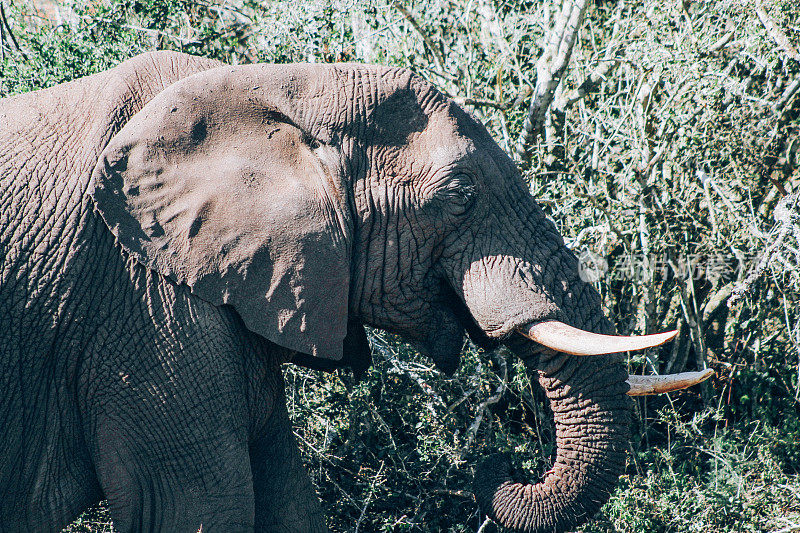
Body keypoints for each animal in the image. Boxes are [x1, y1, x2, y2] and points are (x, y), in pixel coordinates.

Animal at [0, 51, 712, 532]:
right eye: (459, 195)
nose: (494, 470)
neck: (271, 85)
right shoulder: (139, 302)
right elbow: (196, 508)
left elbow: (287, 503)